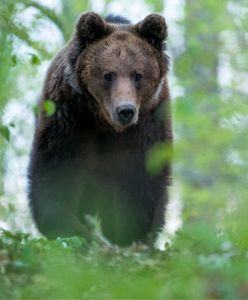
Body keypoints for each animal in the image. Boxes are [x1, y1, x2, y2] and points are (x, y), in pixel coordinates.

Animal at [28, 12, 172, 246]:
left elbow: (141, 183)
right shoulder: (70, 118)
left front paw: (131, 237)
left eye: (138, 75)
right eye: (108, 75)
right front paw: (75, 232)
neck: (104, 123)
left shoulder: (146, 127)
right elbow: (56, 176)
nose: (125, 110)